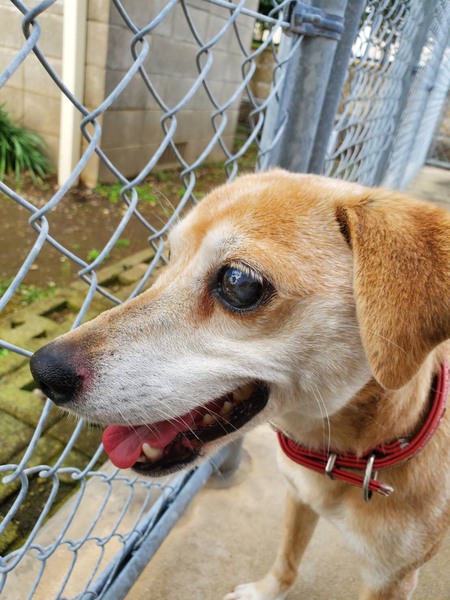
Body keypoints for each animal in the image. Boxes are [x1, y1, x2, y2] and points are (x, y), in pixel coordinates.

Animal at [30, 170, 450, 600]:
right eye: (168, 258)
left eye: (240, 282)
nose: (43, 371)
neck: (347, 453)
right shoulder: (297, 497)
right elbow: (287, 559)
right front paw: (265, 591)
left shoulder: (392, 576)